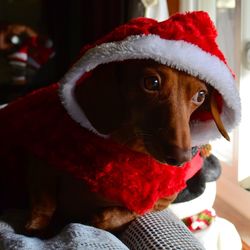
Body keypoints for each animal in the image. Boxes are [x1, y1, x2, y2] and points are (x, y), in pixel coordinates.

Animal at [18, 59, 230, 236]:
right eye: (151, 82)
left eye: (200, 95)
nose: (181, 159)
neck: (123, 151)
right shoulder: (40, 160)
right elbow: (44, 203)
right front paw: (37, 228)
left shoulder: (160, 202)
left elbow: (112, 215)